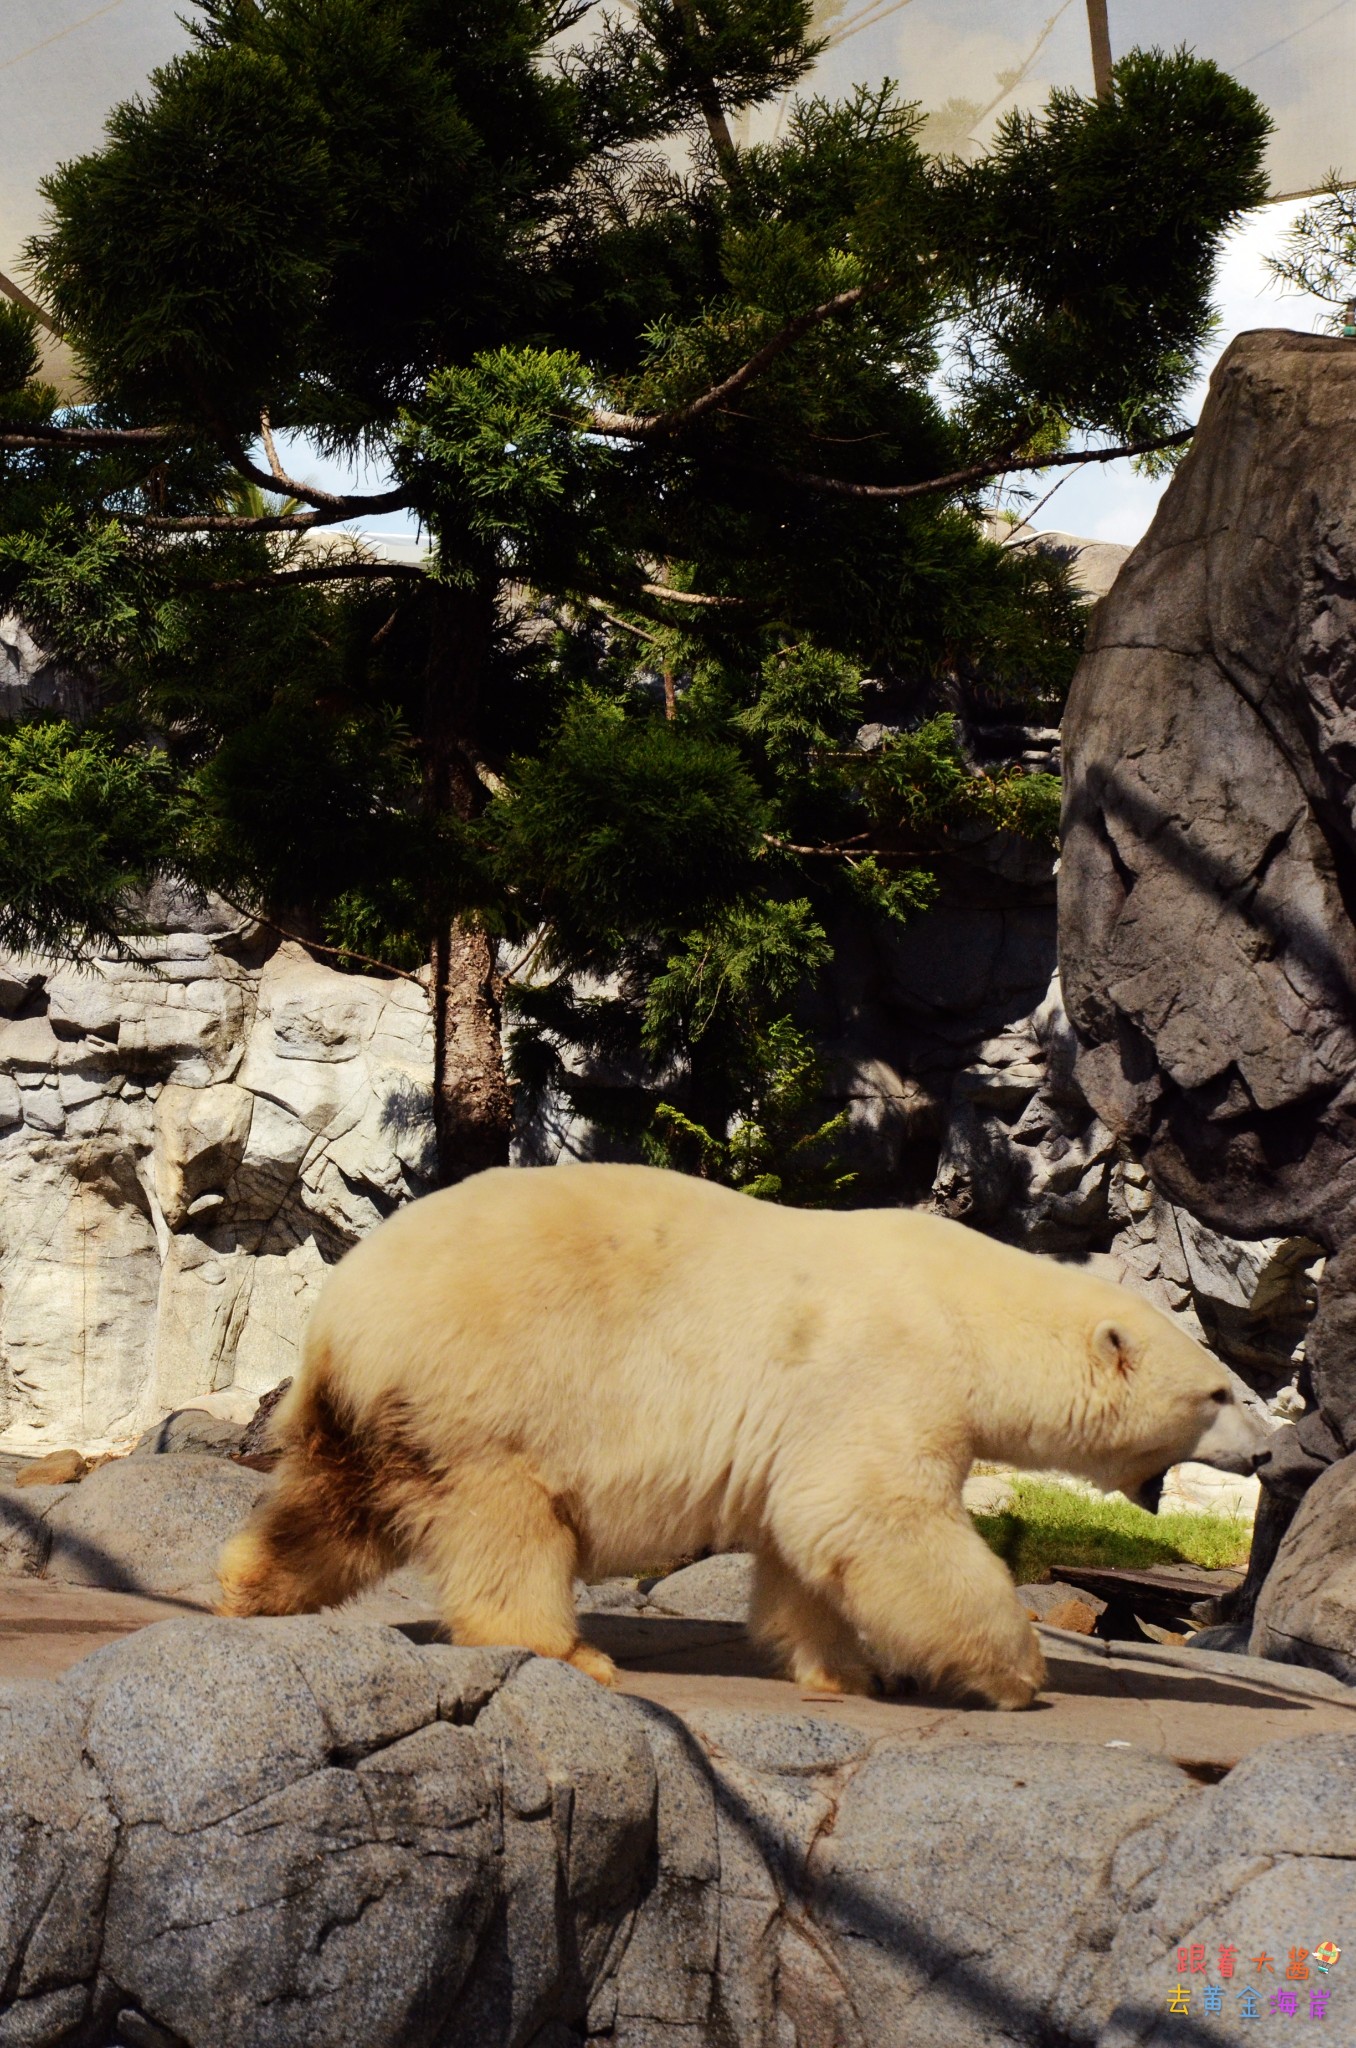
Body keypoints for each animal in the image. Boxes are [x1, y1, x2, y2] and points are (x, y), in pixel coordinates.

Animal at [218, 1163, 1269, 1703]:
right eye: (1220, 1392)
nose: (1265, 1450)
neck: (972, 1311)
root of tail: (337, 1314)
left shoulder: (808, 1422)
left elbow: (802, 1542)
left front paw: (845, 1670)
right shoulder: (885, 1365)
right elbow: (869, 1515)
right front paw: (1013, 1670)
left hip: (387, 1409)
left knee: (342, 1504)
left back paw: (248, 1586)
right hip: (484, 1390)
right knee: (506, 1523)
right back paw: (573, 1653)